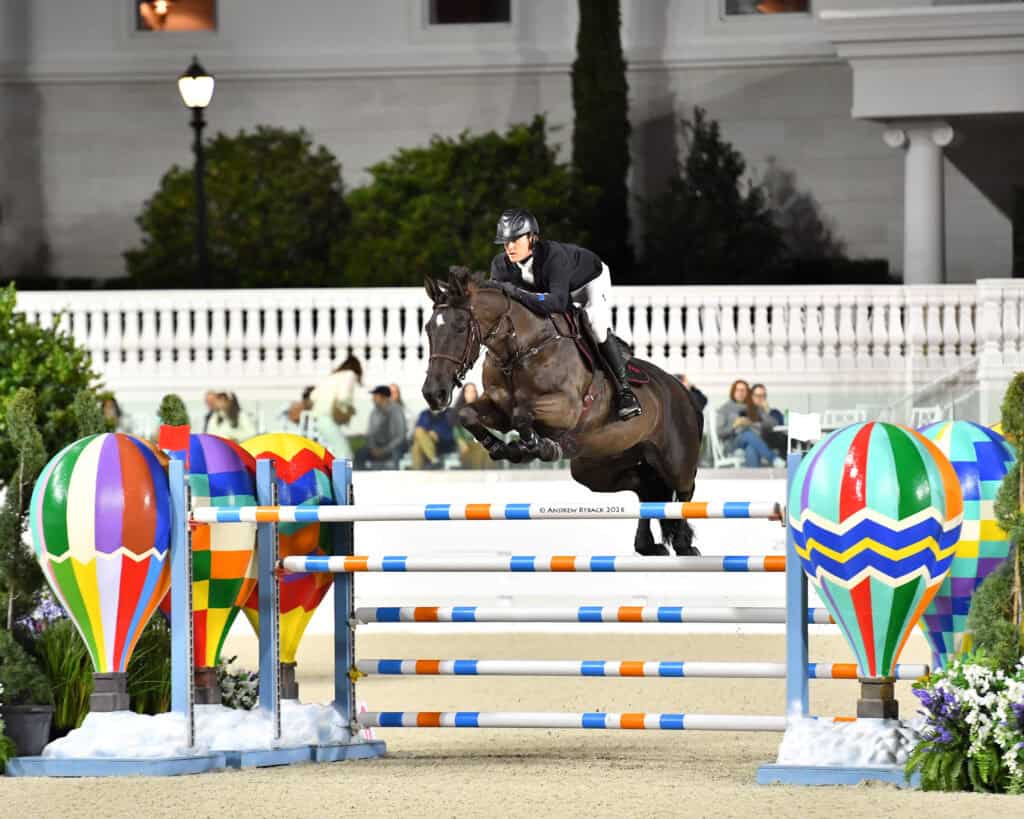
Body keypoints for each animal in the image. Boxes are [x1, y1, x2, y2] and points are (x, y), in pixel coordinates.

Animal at [421, 266, 704, 556]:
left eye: (460, 327)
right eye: (428, 329)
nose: (434, 394)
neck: (519, 350)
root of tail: (681, 390)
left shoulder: (567, 408)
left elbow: (522, 414)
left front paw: (538, 447)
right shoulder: (498, 408)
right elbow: (469, 415)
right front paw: (503, 448)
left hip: (676, 460)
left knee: (684, 491)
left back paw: (683, 543)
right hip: (596, 466)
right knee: (645, 486)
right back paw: (647, 545)